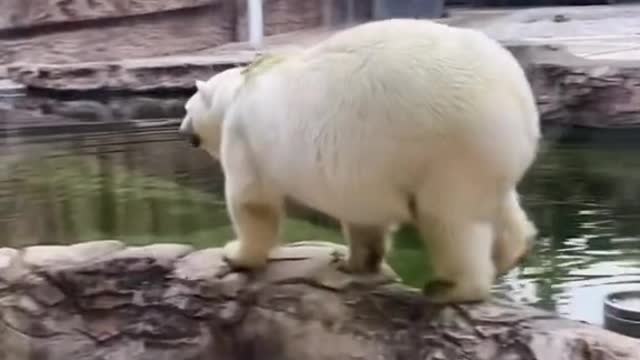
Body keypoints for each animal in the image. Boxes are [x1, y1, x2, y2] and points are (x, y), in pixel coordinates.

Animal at [178, 17, 536, 304]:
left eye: (186, 108)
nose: (182, 130)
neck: (243, 87)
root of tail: (518, 98)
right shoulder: (357, 172)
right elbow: (363, 217)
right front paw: (351, 262)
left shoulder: (244, 138)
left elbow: (253, 202)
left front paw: (236, 254)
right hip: (488, 156)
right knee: (499, 205)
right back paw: (510, 254)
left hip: (450, 148)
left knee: (449, 221)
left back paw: (450, 288)